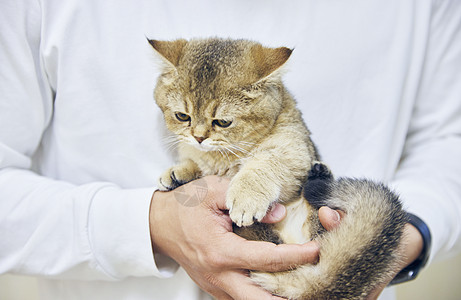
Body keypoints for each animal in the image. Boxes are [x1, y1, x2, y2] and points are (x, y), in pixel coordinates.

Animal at [149, 38, 404, 300]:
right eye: (182, 116)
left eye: (223, 122)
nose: (199, 137)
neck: (222, 156)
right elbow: (196, 163)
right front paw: (178, 172)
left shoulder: (293, 152)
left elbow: (263, 163)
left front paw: (245, 197)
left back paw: (320, 174)